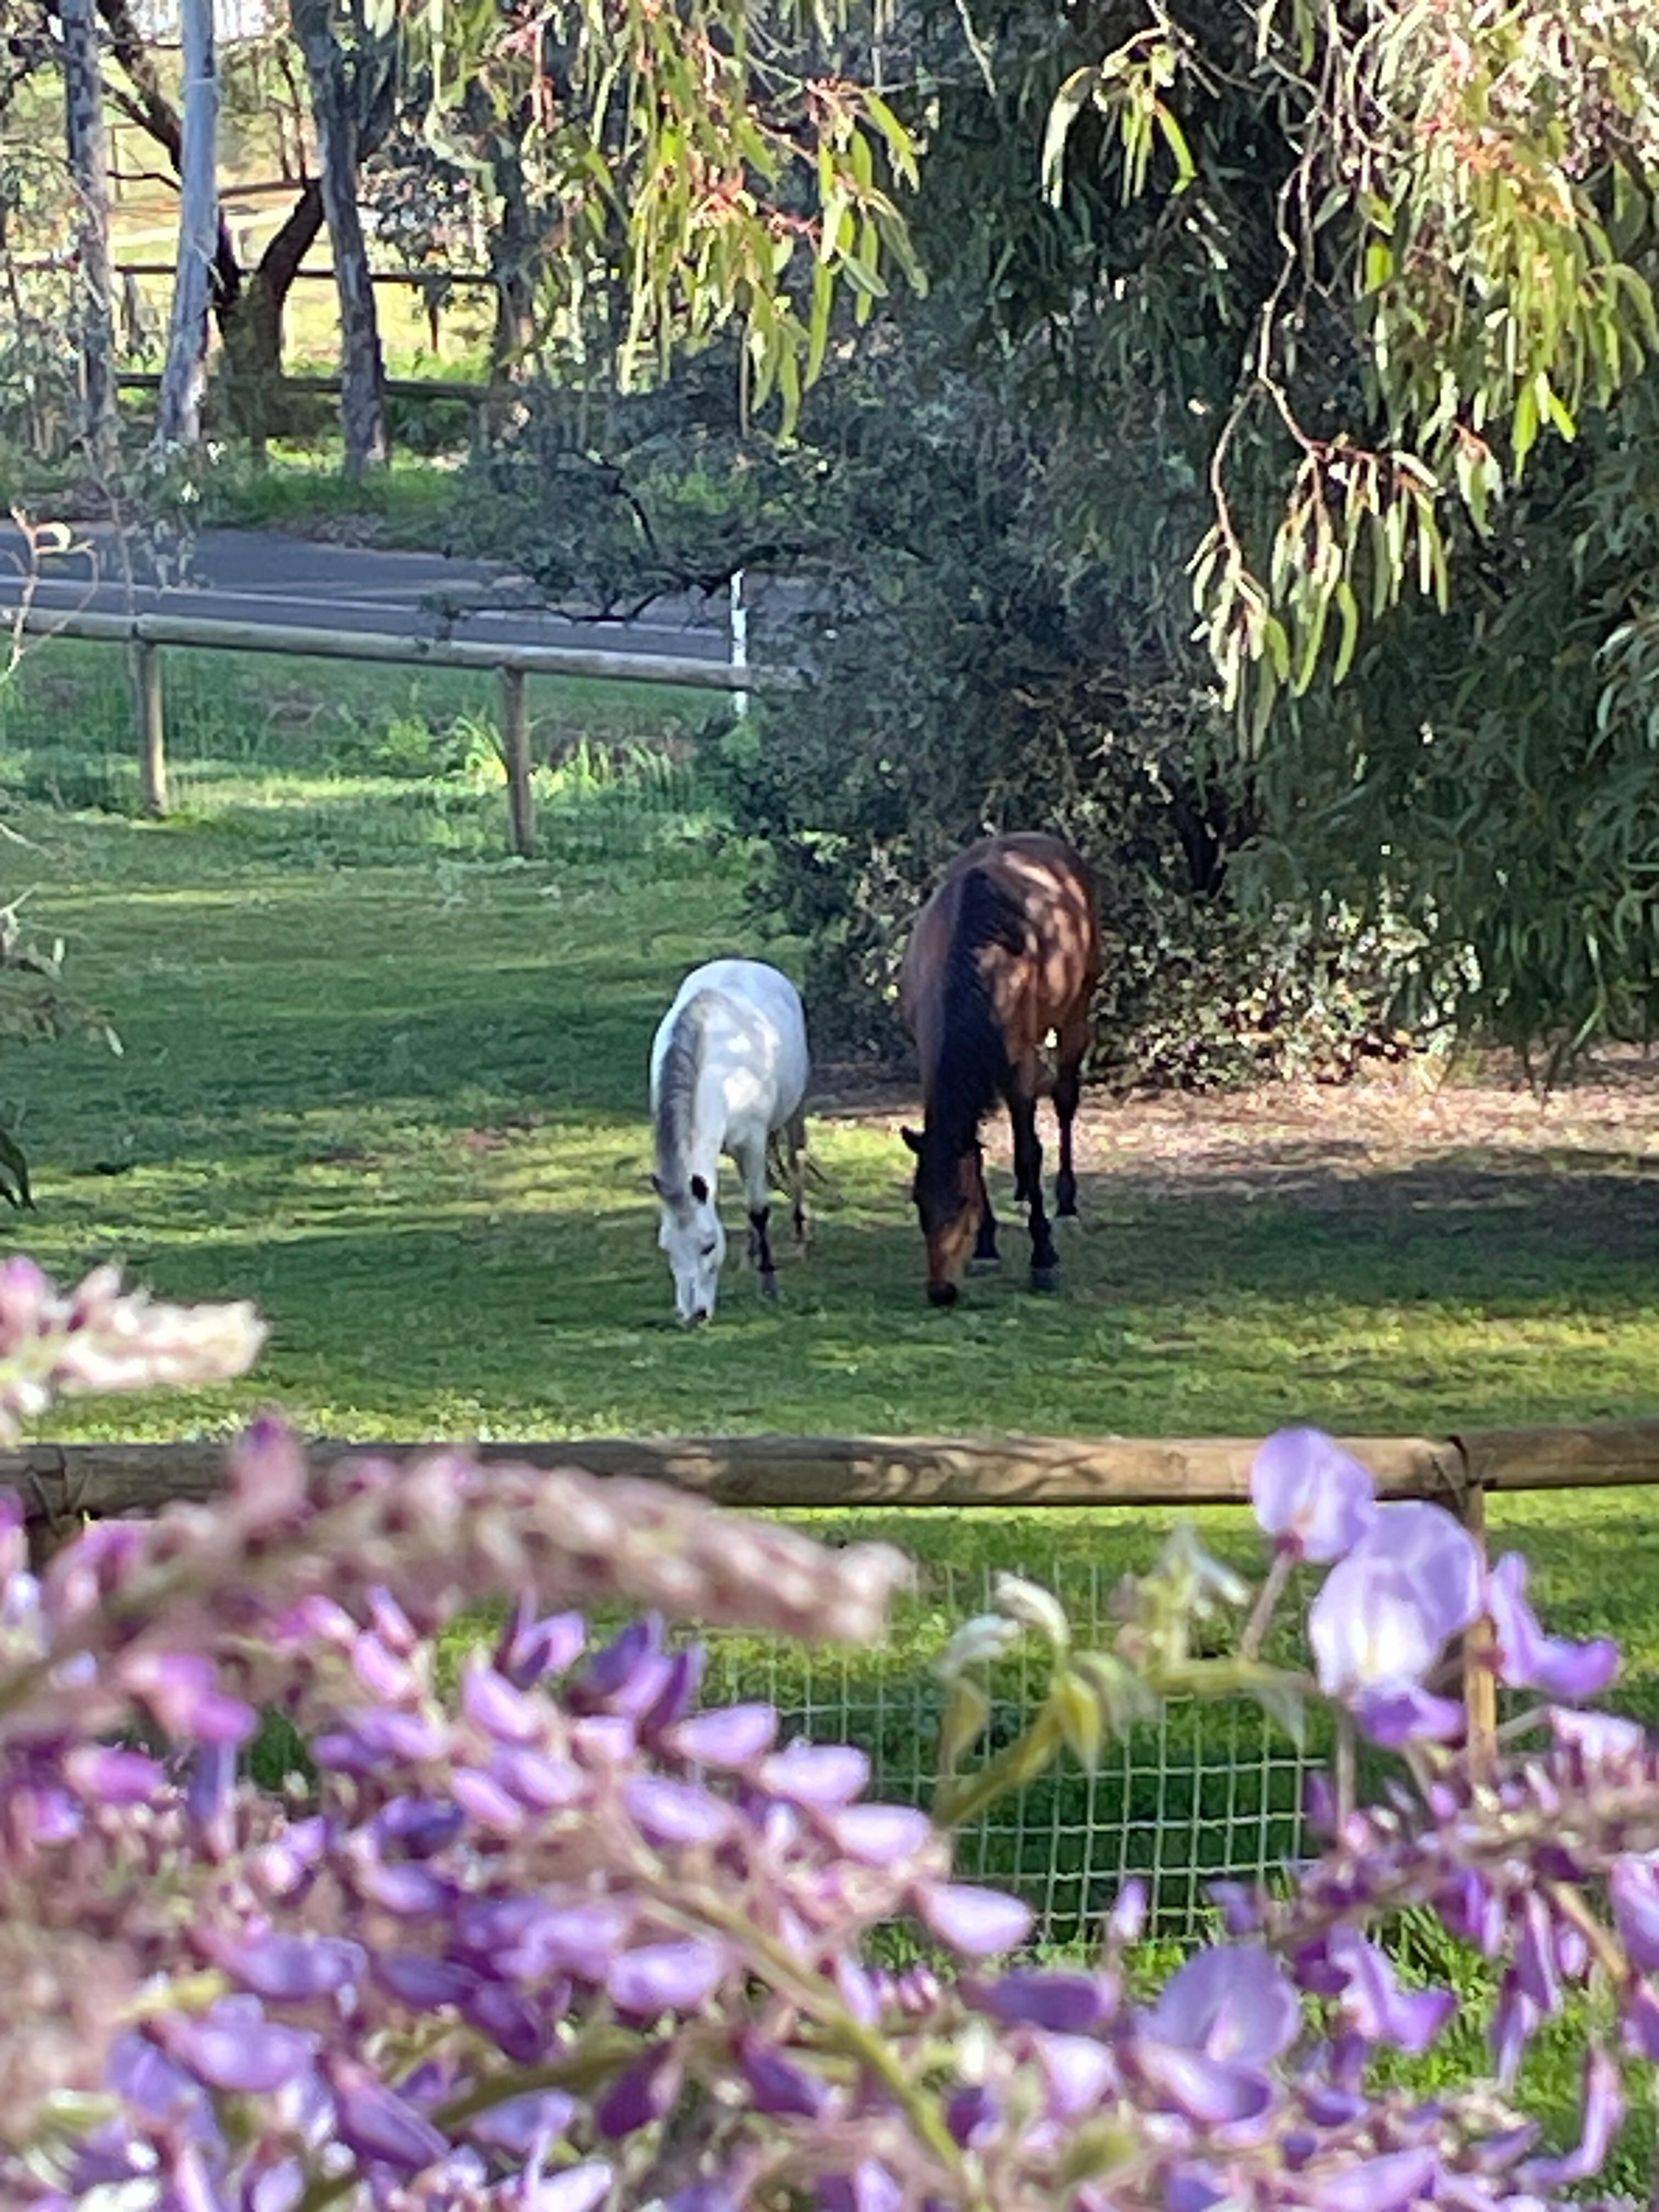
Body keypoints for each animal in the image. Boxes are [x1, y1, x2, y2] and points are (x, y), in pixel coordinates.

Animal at [649, 958, 811, 1324]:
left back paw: (799, 1229)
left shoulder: (752, 1142)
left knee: (795, 1162)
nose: (693, 1315)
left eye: (708, 1246)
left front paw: (770, 1284)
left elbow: (759, 1211)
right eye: (668, 1248)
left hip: (794, 1112)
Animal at [899, 831, 1101, 1307]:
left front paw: (1043, 1257)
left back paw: (1066, 1206)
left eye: (960, 1204)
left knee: (1064, 1101)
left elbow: (1029, 1152)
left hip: (1075, 1013)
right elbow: (976, 1152)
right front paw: (987, 1247)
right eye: (919, 1202)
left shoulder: (1018, 1066)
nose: (941, 1291)